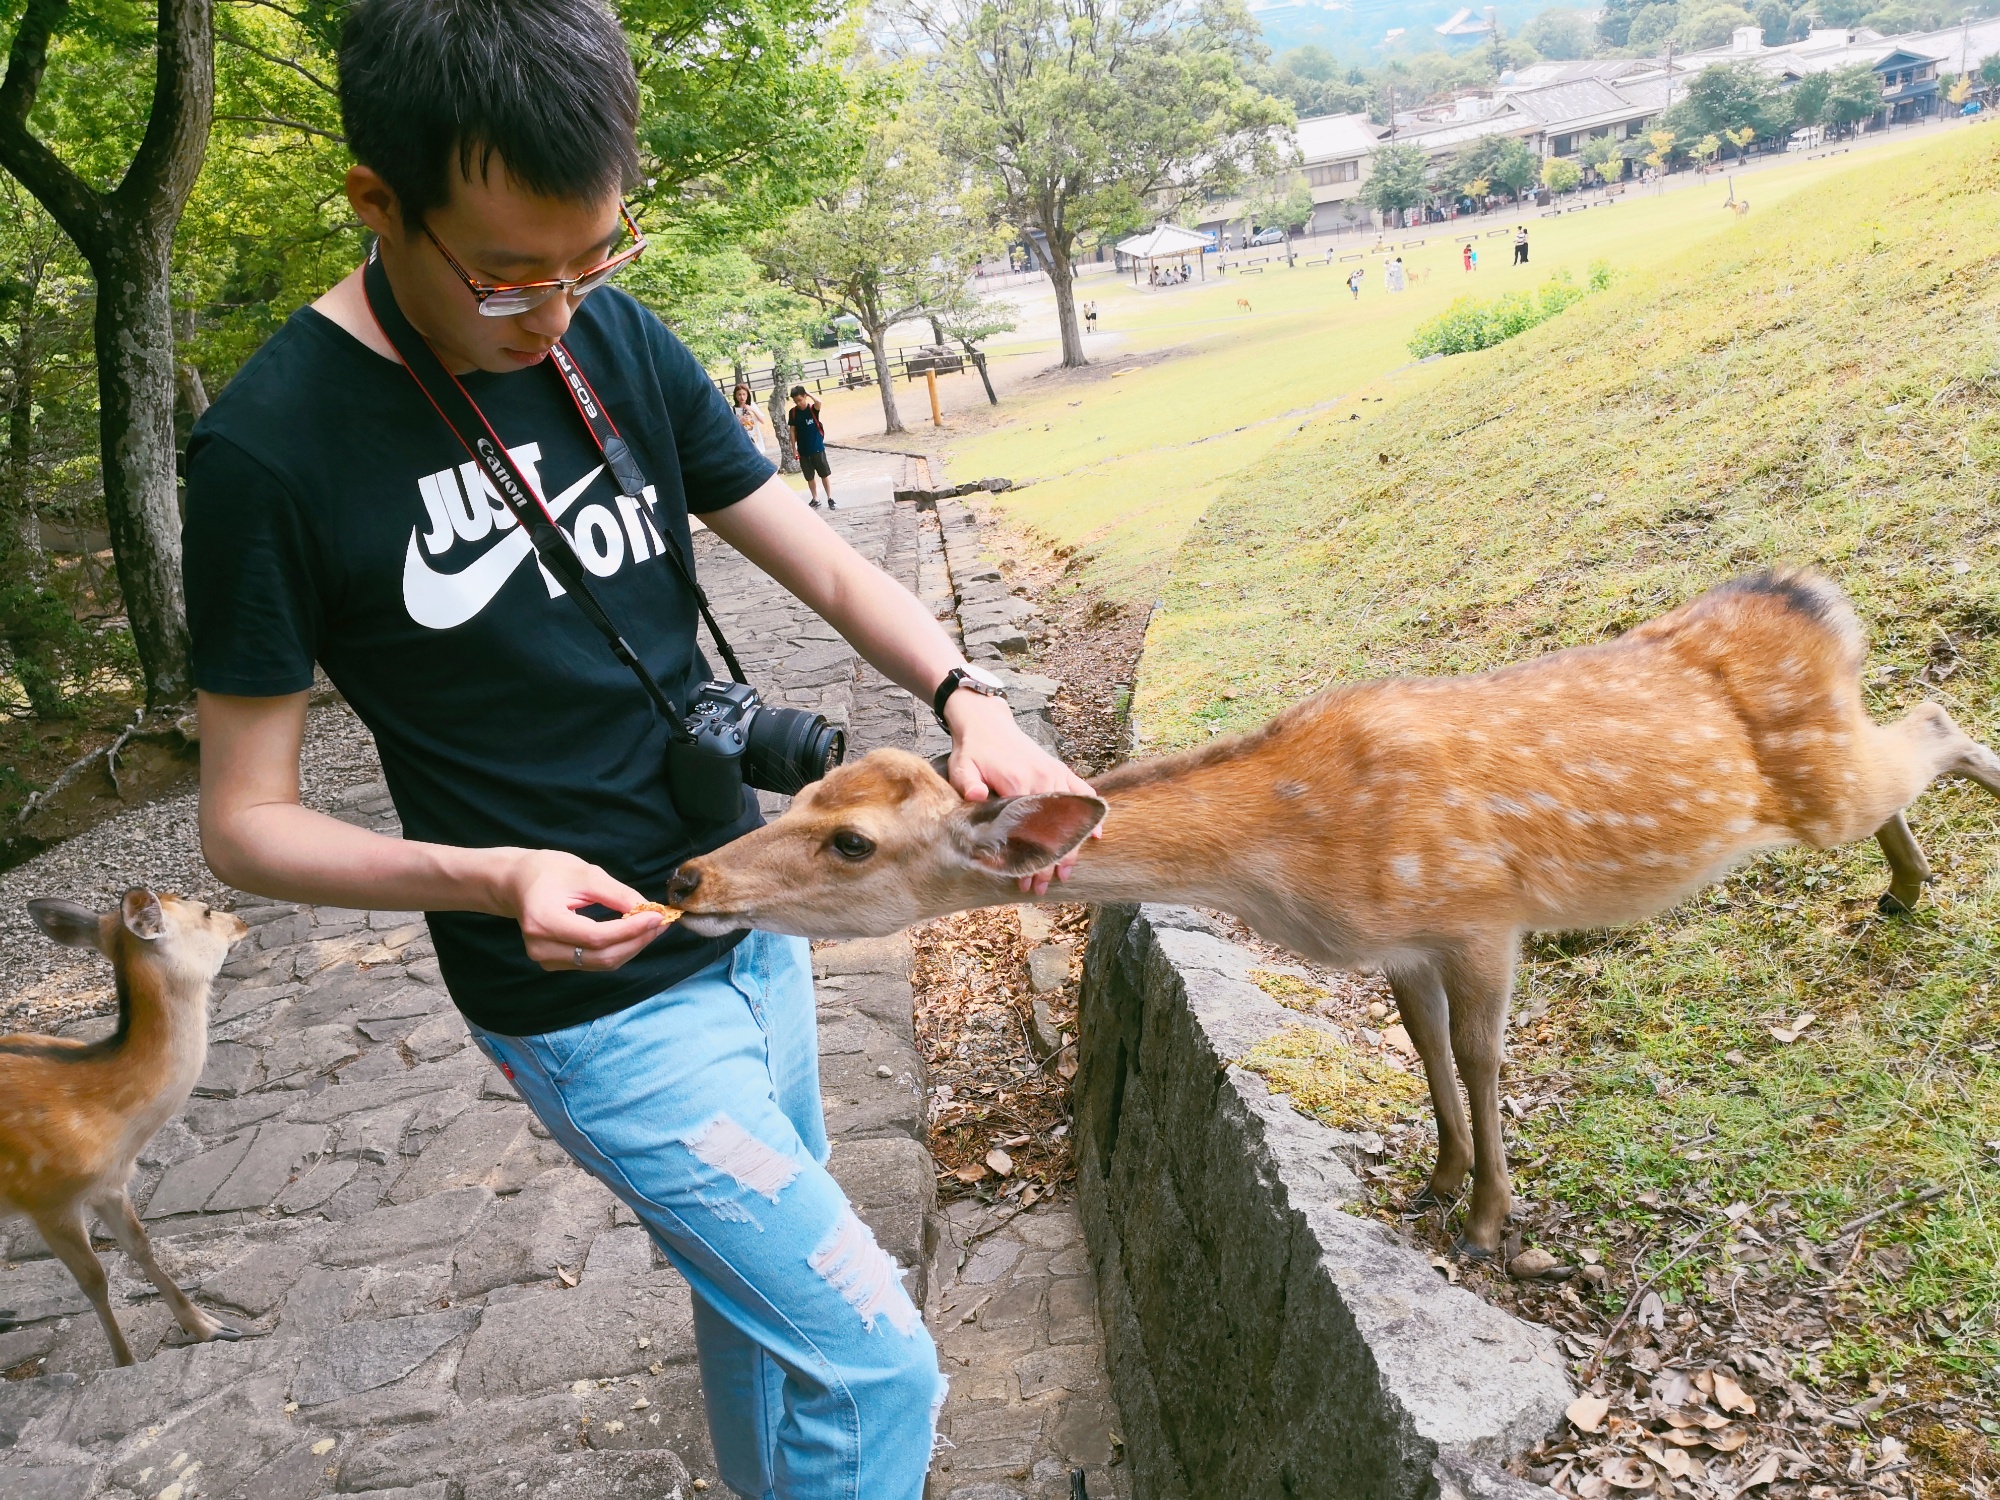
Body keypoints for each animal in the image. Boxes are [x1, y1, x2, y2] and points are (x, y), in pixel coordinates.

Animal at [2, 888, 250, 1368]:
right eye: (206, 912)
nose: (242, 922)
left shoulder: (110, 1183)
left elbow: (141, 1246)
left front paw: (209, 1327)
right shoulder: (46, 1199)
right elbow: (94, 1280)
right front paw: (125, 1362)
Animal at [668, 576, 2000, 1256]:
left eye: (850, 840)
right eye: (814, 789)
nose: (688, 879)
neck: (1294, 866)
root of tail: (1818, 602)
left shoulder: (1478, 914)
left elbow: (1481, 1056)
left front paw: (1486, 1222)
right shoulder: (1398, 942)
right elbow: (1422, 1052)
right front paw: (1430, 1182)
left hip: (1817, 778)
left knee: (1934, 720)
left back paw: (1927, 866)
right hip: (1826, 772)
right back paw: (1899, 888)